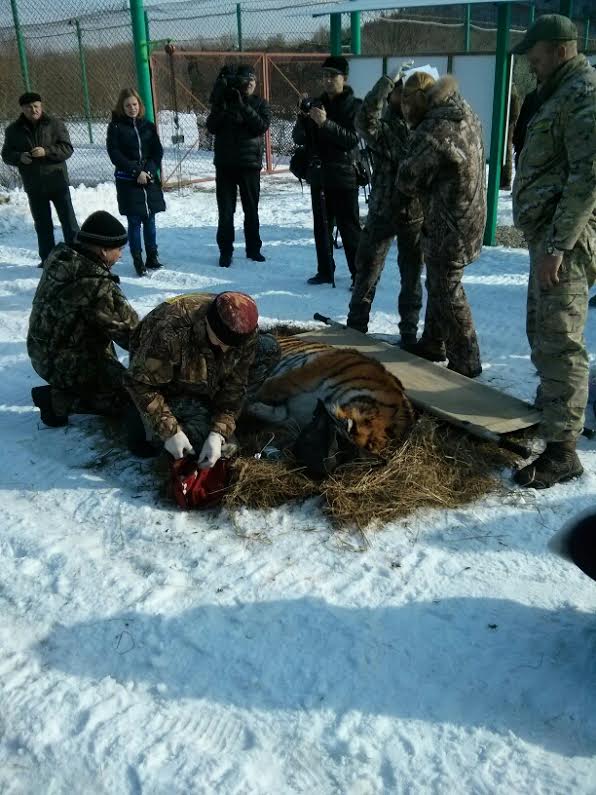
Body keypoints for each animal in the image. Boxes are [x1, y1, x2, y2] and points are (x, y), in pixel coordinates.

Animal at [244, 336, 416, 454]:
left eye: (368, 446)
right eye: (353, 430)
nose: (346, 441)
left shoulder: (294, 416)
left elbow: (277, 413)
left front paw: (253, 406)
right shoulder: (318, 368)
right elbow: (280, 384)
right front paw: (257, 394)